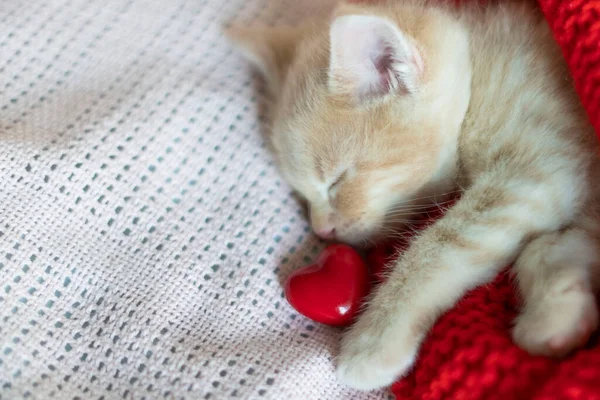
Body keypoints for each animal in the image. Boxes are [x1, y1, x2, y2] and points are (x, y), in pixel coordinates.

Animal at [226, 0, 600, 390]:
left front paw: (374, 342)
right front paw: (559, 314)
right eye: (302, 194)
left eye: (336, 181)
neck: (477, 76)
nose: (321, 230)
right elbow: (547, 249)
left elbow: (439, 248)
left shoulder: (543, 164)